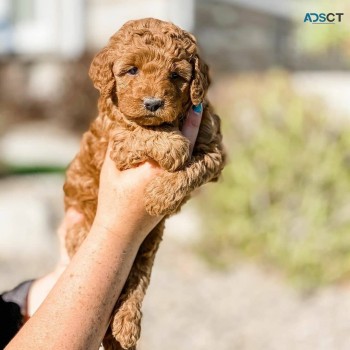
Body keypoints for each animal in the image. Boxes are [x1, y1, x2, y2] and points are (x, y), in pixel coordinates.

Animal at [64, 17, 226, 350]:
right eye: (132, 70)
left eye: (176, 76)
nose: (153, 103)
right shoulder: (117, 140)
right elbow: (143, 132)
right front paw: (172, 146)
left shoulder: (214, 148)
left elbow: (197, 168)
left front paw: (158, 196)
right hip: (83, 233)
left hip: (147, 244)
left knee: (135, 280)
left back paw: (124, 328)